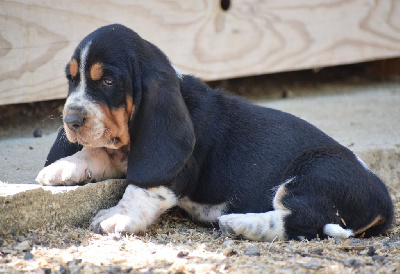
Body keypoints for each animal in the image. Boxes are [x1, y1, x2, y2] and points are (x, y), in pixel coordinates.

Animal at [36, 24, 392, 241]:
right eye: (71, 79)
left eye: (108, 81)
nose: (70, 120)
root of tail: (384, 204)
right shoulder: (124, 151)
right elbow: (96, 151)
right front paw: (62, 168)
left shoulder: (170, 169)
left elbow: (141, 190)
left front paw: (117, 217)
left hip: (313, 173)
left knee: (300, 221)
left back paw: (242, 222)